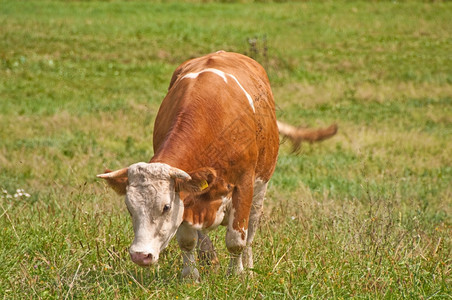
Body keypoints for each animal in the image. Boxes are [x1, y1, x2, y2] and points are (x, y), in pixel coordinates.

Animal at [97, 51, 278, 278]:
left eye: (166, 207)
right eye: (130, 208)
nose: (140, 255)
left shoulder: (244, 186)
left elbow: (237, 240)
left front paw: (236, 275)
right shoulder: (184, 194)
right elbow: (187, 241)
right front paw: (190, 276)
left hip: (260, 187)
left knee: (251, 231)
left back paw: (249, 268)